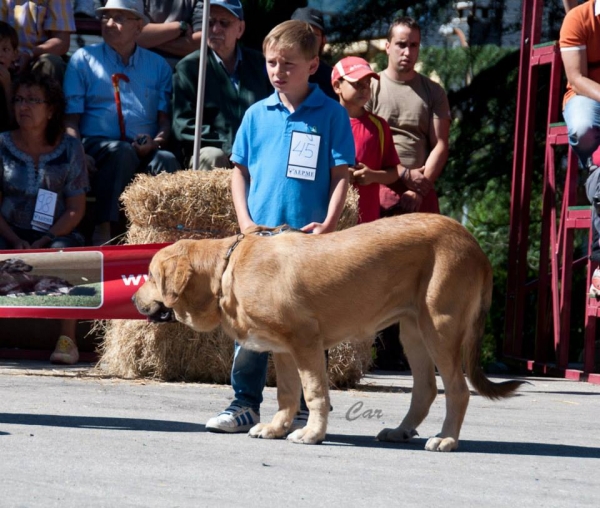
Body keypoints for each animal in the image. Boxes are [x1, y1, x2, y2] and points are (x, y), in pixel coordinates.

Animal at [131, 212, 520, 450]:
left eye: (149, 276)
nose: (134, 298)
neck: (226, 271)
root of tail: (472, 243)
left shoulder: (305, 341)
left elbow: (315, 393)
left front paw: (311, 434)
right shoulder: (283, 349)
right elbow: (288, 394)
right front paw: (276, 428)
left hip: (439, 326)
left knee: (458, 390)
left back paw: (446, 439)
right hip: (413, 331)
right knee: (425, 389)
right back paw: (400, 431)